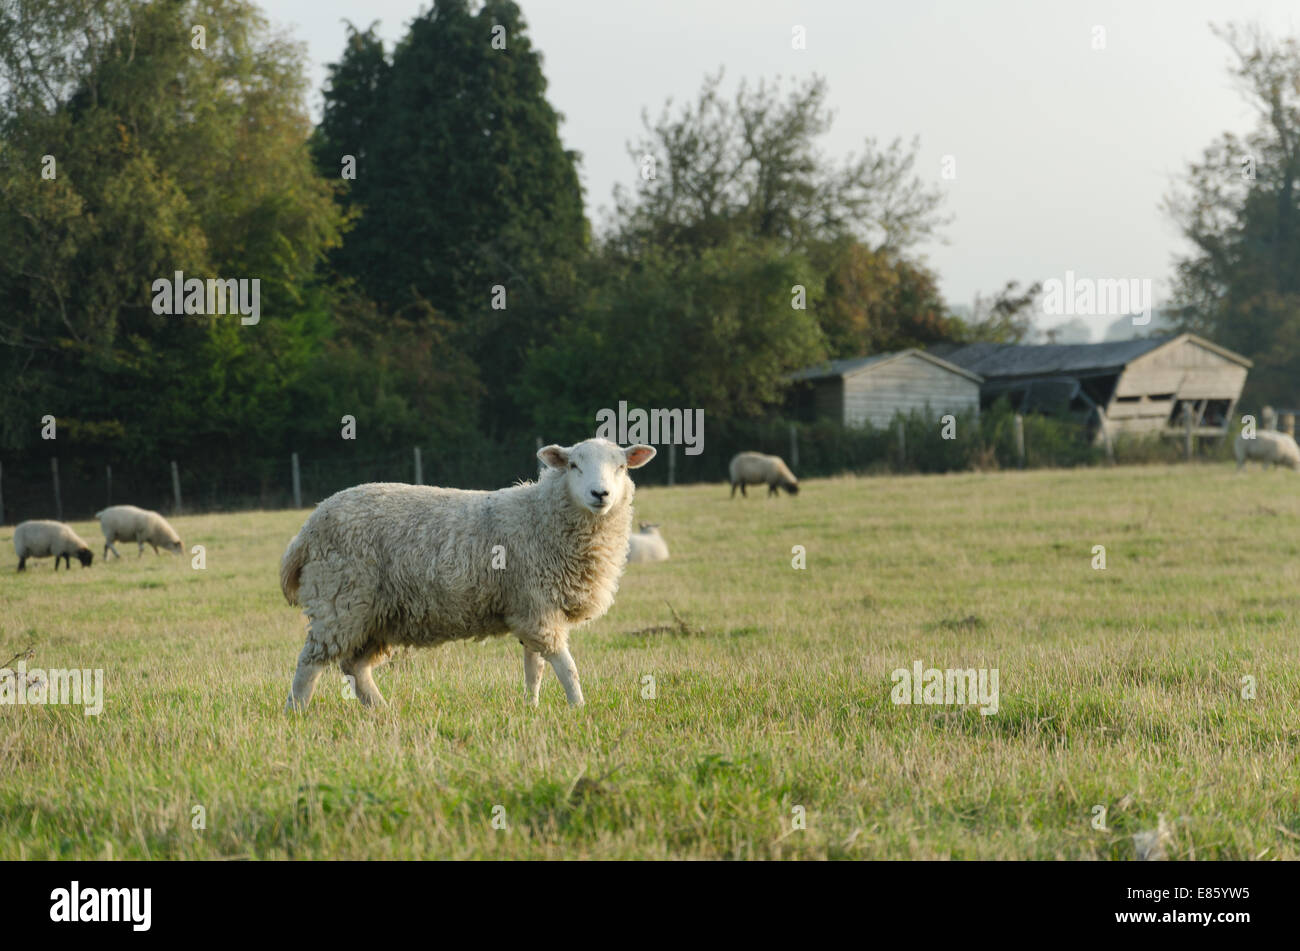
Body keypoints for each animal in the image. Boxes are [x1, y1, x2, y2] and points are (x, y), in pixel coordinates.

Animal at [279, 433, 655, 711]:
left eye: (621, 467)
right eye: (574, 465)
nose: (600, 494)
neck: (541, 514)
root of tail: (308, 528)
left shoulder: (530, 608)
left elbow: (534, 667)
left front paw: (531, 706)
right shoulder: (537, 607)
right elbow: (567, 666)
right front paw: (579, 707)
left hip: (376, 614)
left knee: (354, 667)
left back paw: (381, 710)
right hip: (340, 599)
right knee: (309, 662)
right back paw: (297, 712)